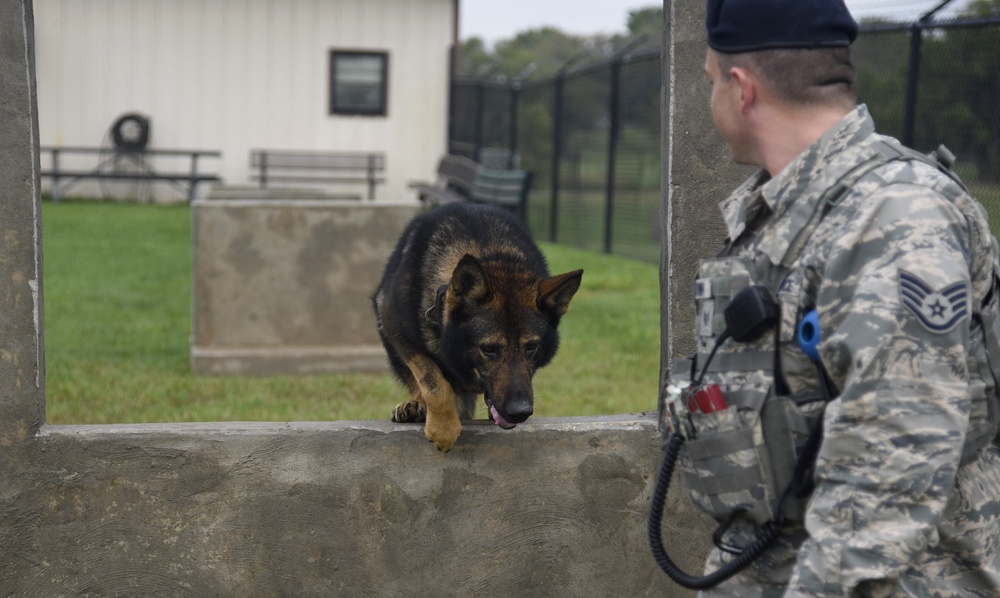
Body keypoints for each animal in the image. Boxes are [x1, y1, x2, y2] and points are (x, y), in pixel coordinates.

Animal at [372, 204, 584, 452]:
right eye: (489, 349)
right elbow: (431, 379)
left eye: (531, 347)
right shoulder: (393, 325)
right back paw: (416, 404)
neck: (485, 249)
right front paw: (443, 428)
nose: (520, 412)